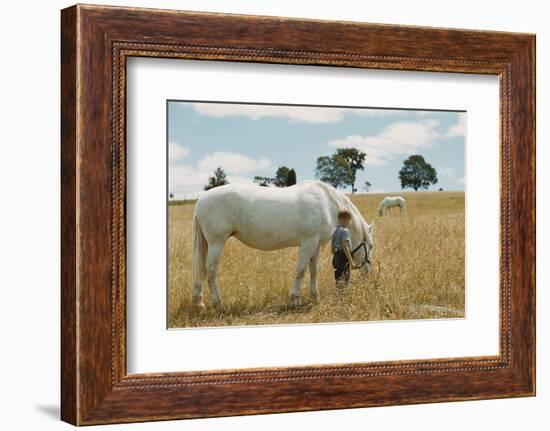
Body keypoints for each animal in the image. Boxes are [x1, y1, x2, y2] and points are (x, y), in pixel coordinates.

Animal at [191, 181, 376, 308]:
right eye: (370, 245)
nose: (368, 272)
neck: (327, 204)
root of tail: (201, 200)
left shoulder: (315, 245)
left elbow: (313, 270)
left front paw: (314, 296)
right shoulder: (308, 242)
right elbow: (301, 270)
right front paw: (295, 299)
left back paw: (199, 302)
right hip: (216, 242)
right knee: (210, 270)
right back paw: (217, 304)